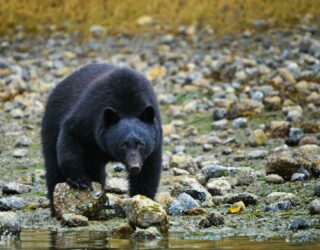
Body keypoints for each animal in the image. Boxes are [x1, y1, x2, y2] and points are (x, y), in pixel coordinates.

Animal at [41, 63, 162, 212]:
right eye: (123, 145)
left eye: (141, 144)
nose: (134, 166)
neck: (127, 106)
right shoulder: (89, 116)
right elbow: (71, 136)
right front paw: (80, 180)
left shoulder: (155, 137)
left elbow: (149, 169)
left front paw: (142, 199)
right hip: (52, 121)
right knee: (53, 166)